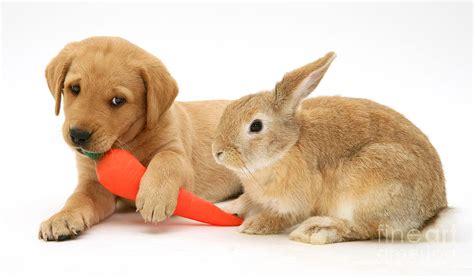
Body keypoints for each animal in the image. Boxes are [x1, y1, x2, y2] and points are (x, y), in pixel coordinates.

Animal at [39, 37, 241, 241]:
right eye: (74, 88)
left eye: (118, 100)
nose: (78, 135)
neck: (128, 143)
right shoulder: (93, 183)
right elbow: (78, 198)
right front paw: (62, 218)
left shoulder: (180, 159)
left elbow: (167, 158)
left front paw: (155, 196)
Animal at [213, 51, 446, 243]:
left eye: (256, 125)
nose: (217, 152)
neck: (288, 146)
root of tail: (431, 213)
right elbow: (246, 200)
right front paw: (229, 208)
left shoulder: (297, 202)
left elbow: (282, 217)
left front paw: (254, 225)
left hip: (365, 187)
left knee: (363, 229)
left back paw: (315, 231)